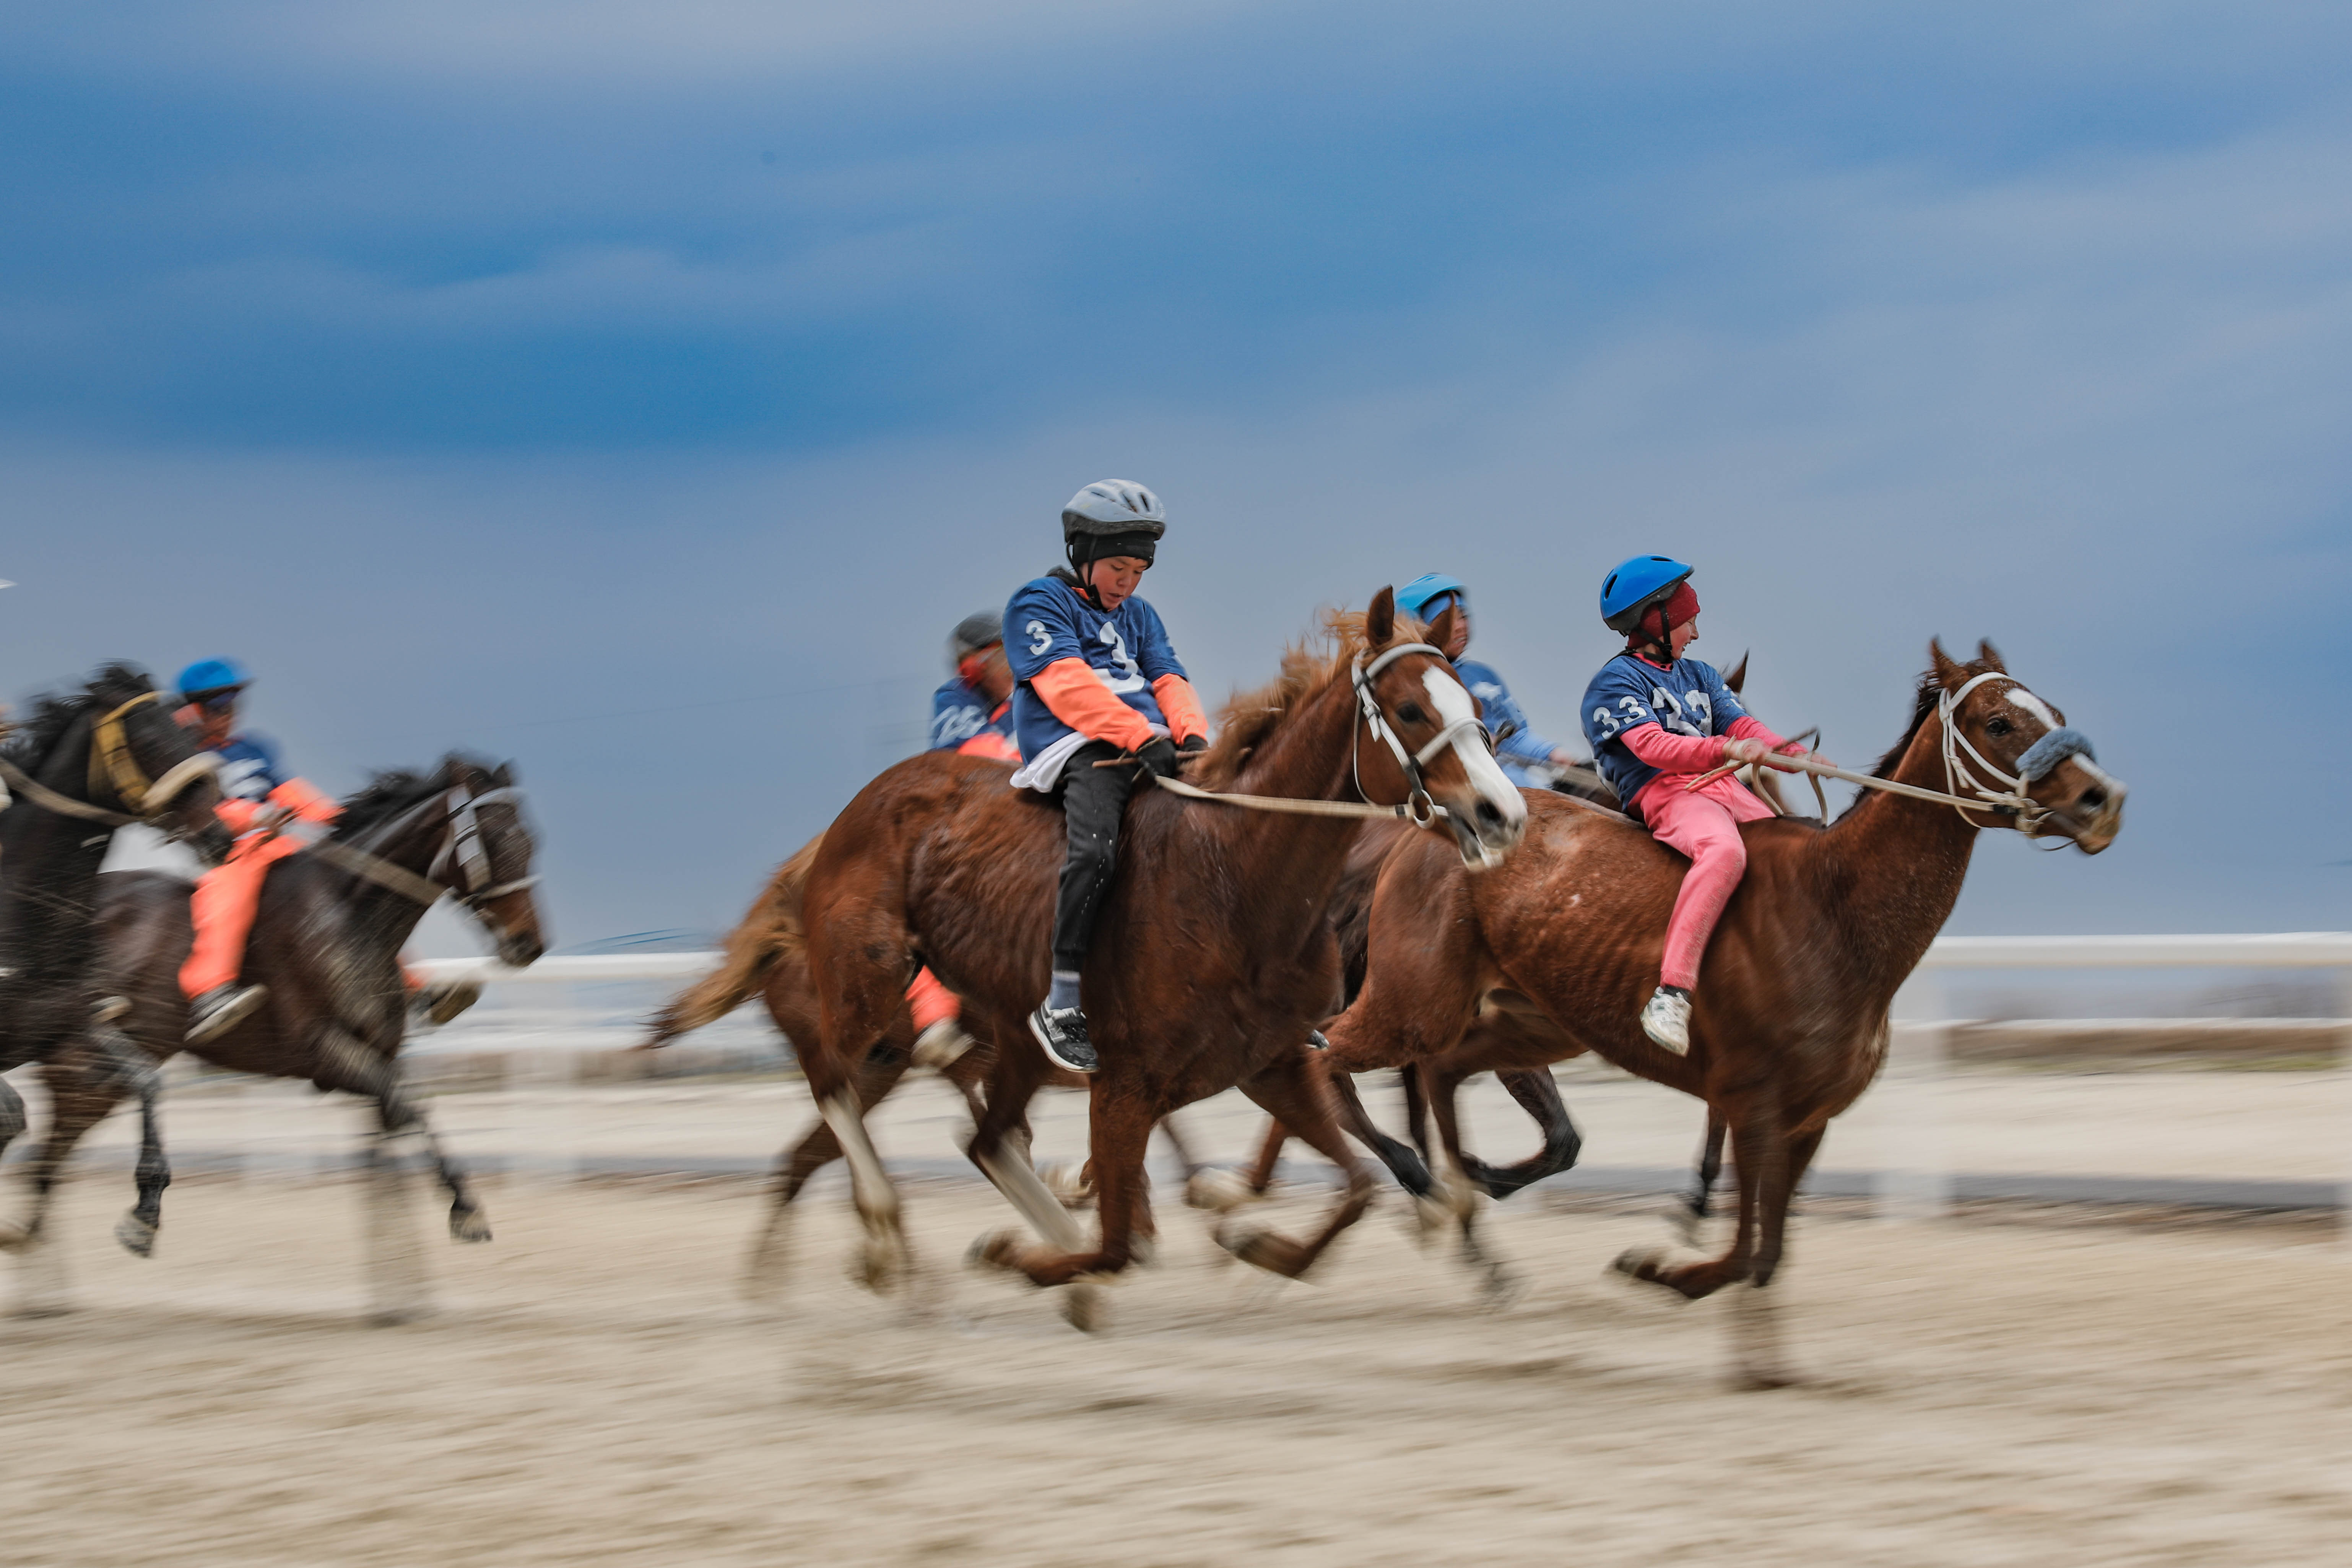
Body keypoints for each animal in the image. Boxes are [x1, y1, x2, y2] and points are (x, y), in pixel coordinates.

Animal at [2, 762, 541, 1297]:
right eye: (495, 839)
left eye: (532, 840)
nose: (530, 943)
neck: (352, 916)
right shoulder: (323, 1052)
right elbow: (412, 1110)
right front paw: (465, 1210)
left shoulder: (378, 1054)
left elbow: (399, 1132)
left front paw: (404, 1287)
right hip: (82, 1064)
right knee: (45, 1157)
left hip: (91, 1079)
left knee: (45, 1163)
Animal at [790, 588, 1524, 1316]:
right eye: (1410, 710)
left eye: (1473, 704)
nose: (1503, 814)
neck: (1234, 878)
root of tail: (862, 805)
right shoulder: (1124, 1086)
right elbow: (1116, 1246)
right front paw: (1029, 1258)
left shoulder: (1273, 1065)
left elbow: (1357, 1188)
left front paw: (1255, 1244)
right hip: (868, 978)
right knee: (833, 1080)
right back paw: (886, 1234)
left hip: (1012, 1037)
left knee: (987, 1141)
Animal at [1326, 644, 2136, 1382]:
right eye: (1998, 722)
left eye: (2052, 712)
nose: (2103, 801)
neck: (1835, 907)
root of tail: (1437, 824)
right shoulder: (1752, 1099)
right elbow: (1747, 1244)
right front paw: (1657, 1268)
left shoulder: (1809, 1117)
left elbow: (1766, 1248)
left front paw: (1757, 1354)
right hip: (1410, 1002)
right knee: (1328, 1054)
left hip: (1527, 1023)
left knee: (1443, 1071)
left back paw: (1465, 1197)